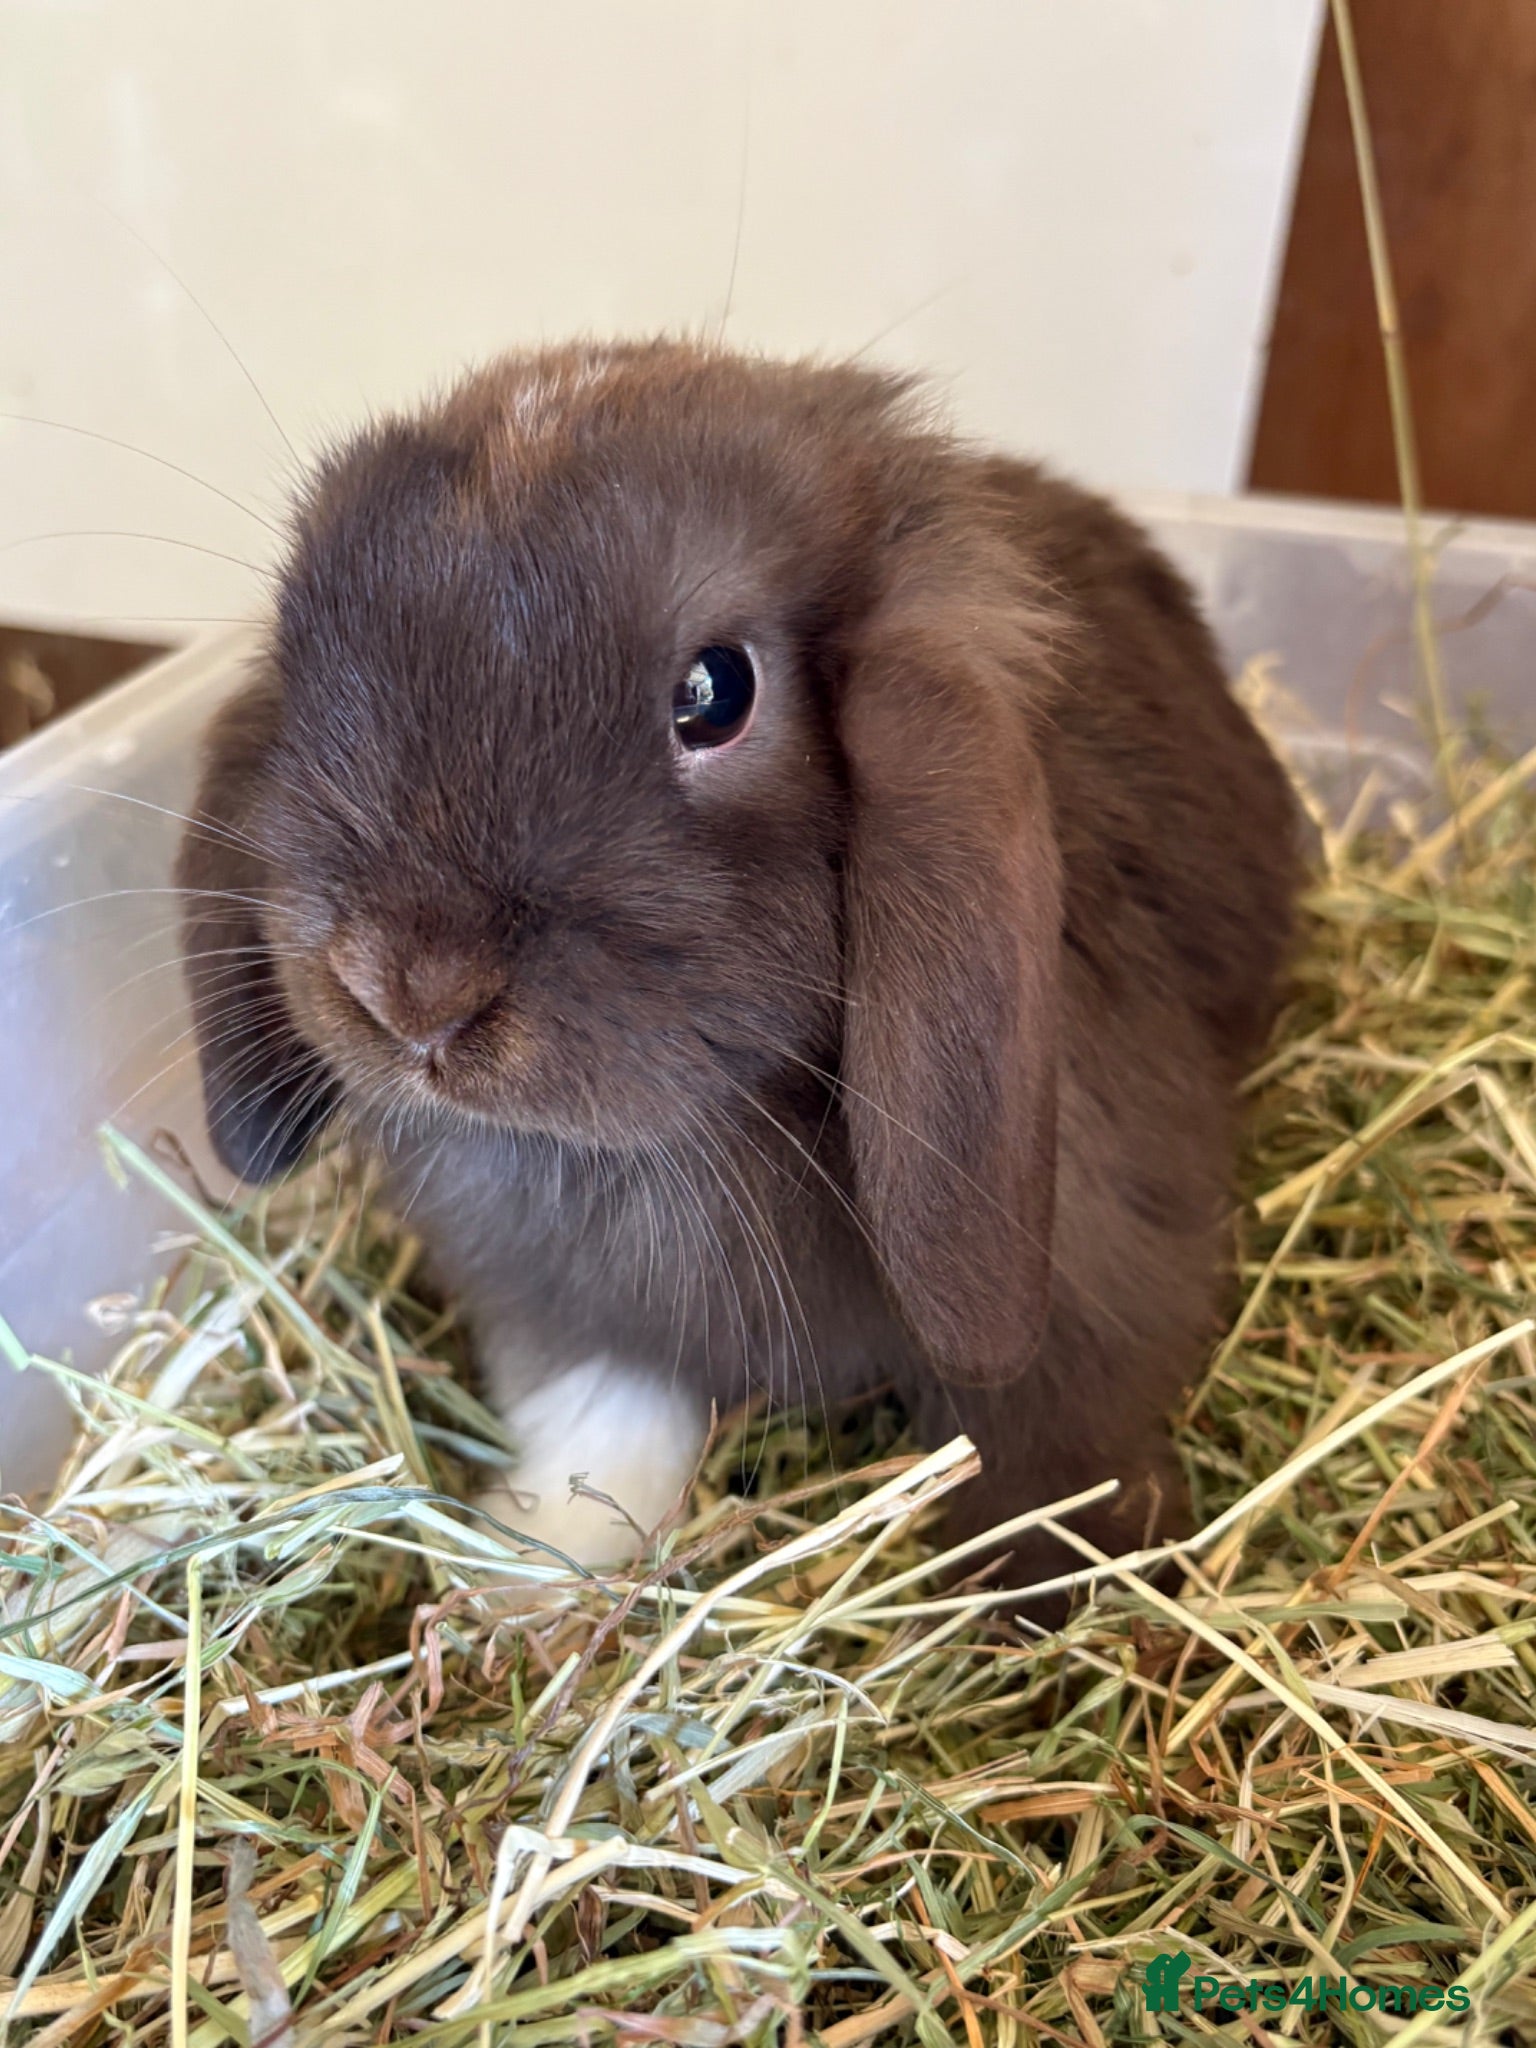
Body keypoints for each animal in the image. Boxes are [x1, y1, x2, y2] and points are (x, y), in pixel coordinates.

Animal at [176, 338, 1300, 1605]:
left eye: (715, 691)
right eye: (303, 655)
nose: (410, 990)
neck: (672, 1145)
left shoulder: (1088, 1290)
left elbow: (1046, 1454)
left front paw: (1051, 1595)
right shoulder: (575, 1314)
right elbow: (610, 1429)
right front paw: (528, 1583)